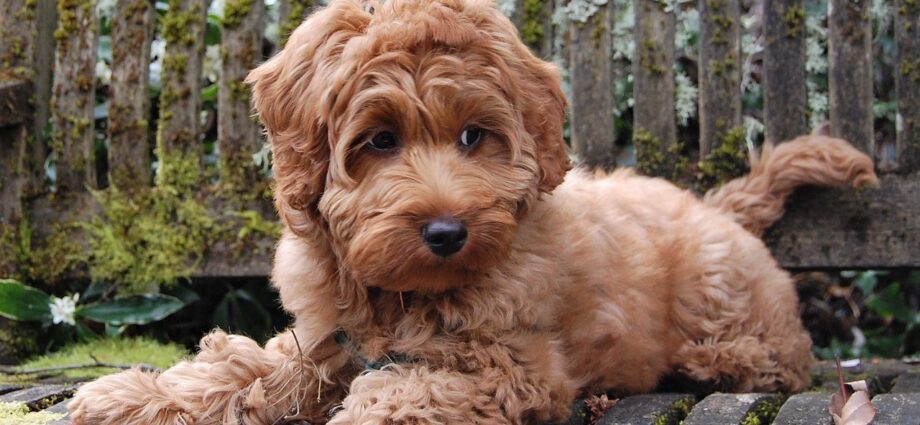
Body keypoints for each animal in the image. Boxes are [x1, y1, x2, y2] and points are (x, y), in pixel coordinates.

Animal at [66, 0, 876, 422]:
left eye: (473, 136)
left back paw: (710, 363)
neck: (402, 296)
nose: (448, 232)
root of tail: (717, 205)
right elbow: (252, 367)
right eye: (379, 141)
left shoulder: (509, 363)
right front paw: (138, 394)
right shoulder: (325, 339)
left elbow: (406, 389)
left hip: (721, 294)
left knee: (781, 354)